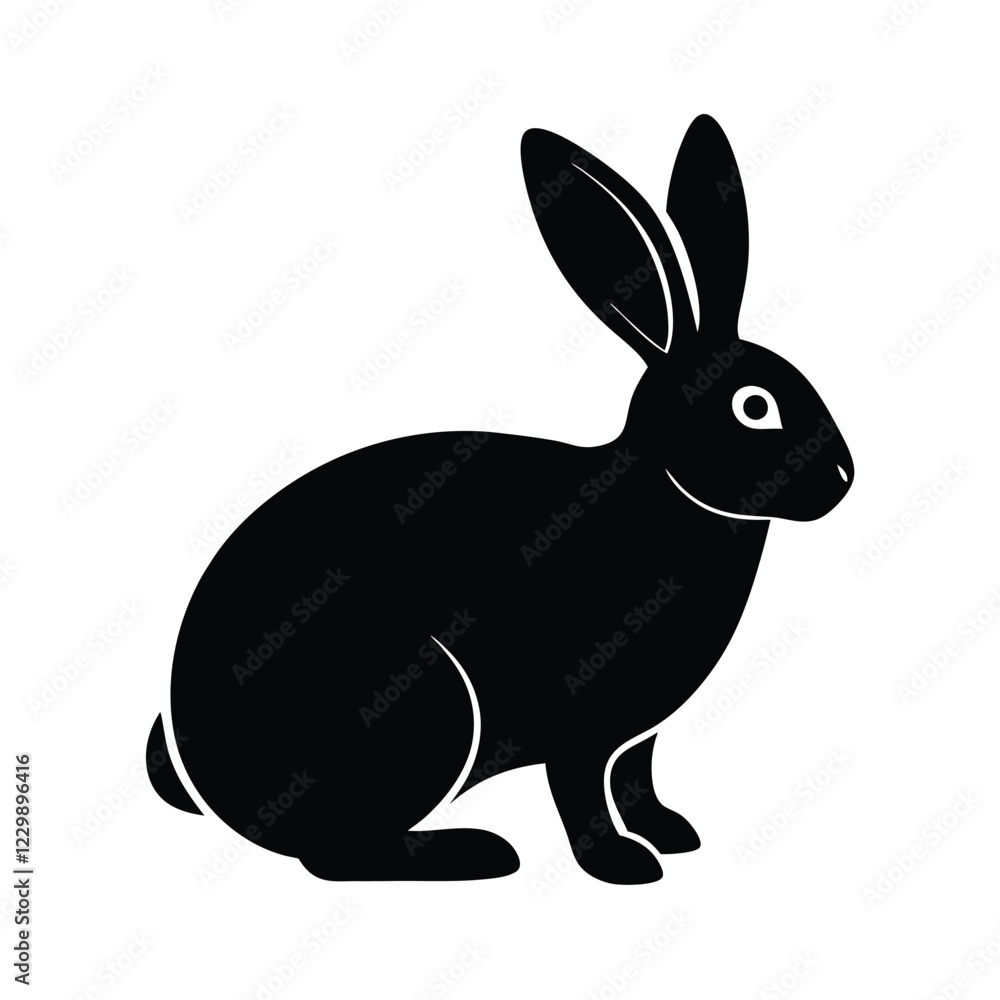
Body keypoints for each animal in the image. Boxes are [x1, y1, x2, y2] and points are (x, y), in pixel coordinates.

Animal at [147, 115, 853, 886]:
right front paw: (620, 865)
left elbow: (637, 776)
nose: (843, 476)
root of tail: (202, 770)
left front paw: (671, 833)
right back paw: (474, 851)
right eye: (755, 407)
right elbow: (581, 789)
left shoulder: (639, 734)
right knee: (332, 854)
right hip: (418, 707)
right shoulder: (580, 721)